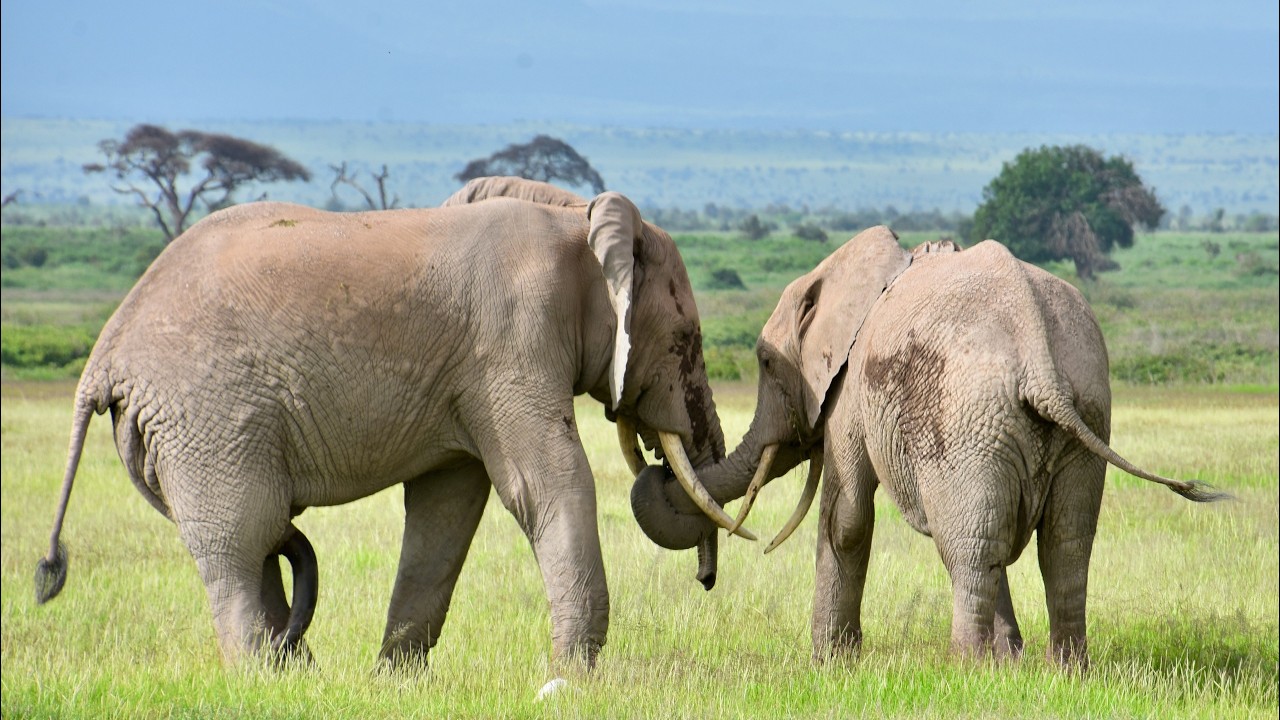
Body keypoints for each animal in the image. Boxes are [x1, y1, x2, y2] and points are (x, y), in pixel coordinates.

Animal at [35, 178, 749, 669]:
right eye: (686, 341)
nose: (707, 582)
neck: (577, 220)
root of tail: (104, 354)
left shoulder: (473, 370)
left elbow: (447, 509)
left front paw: (394, 681)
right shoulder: (512, 340)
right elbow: (548, 483)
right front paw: (571, 681)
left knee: (260, 540)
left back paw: (299, 678)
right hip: (206, 415)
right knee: (240, 541)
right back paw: (265, 679)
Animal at [630, 226, 1226, 668]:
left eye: (766, 363)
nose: (706, 581)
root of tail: (1038, 358)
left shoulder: (850, 388)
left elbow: (846, 519)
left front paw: (829, 664)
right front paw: (1009, 663)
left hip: (967, 422)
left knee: (972, 544)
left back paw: (965, 668)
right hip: (1077, 412)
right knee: (1059, 543)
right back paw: (1062, 671)